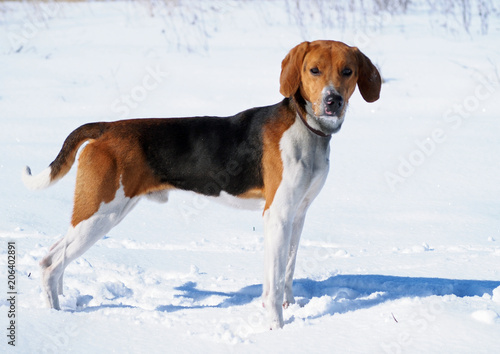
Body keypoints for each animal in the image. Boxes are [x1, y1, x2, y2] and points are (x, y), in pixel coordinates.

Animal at [23, 40, 380, 330]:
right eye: (313, 70)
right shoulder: (277, 216)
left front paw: (291, 308)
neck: (306, 127)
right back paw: (55, 318)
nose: (333, 100)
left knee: (54, 257)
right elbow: (274, 282)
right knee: (50, 263)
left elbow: (288, 272)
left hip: (94, 213)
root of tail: (106, 128)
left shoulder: (298, 215)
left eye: (347, 71)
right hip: (101, 214)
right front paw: (277, 328)